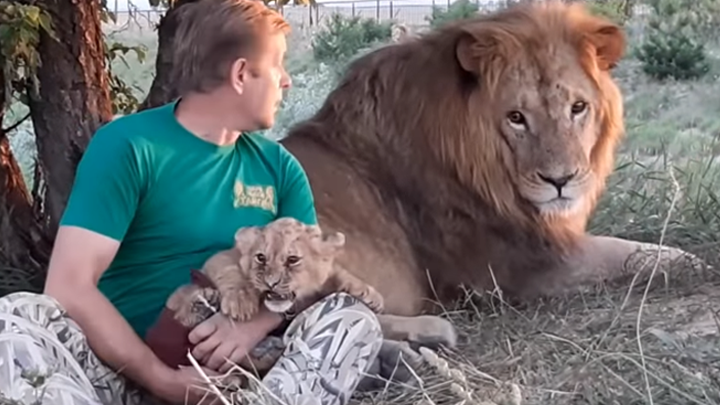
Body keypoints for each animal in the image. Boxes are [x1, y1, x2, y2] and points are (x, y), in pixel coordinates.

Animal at [278, 2, 700, 328]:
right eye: (516, 118)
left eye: (578, 108)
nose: (560, 180)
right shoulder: (522, 268)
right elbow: (629, 255)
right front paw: (689, 260)